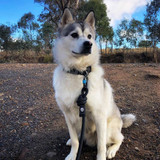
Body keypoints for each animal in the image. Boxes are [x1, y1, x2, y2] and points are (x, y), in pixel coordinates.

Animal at [53, 8, 136, 160]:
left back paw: (112, 150)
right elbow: (76, 141)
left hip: (110, 130)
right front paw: (72, 154)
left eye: (89, 36)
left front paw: (102, 156)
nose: (88, 44)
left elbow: (101, 145)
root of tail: (121, 120)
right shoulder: (68, 116)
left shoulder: (99, 117)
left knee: (120, 138)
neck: (79, 72)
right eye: (74, 35)